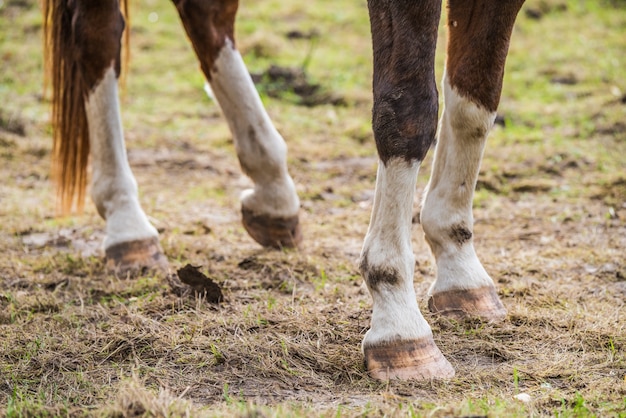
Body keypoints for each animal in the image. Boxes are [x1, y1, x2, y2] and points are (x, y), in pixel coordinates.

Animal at [41, 0, 524, 380]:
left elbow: (475, 100)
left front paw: (459, 266)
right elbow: (409, 109)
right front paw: (399, 320)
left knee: (204, 13)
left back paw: (273, 192)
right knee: (96, 31)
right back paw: (127, 224)